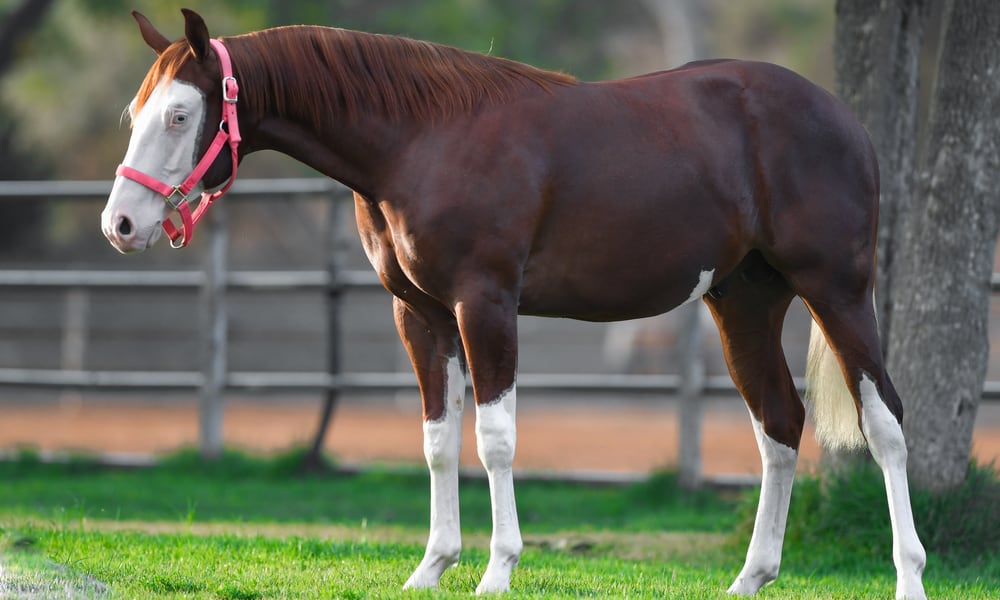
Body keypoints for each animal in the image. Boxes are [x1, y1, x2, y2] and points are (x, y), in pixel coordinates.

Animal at [101, 9, 927, 598]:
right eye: (134, 113)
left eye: (180, 115)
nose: (120, 225)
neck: (421, 138)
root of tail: (844, 119)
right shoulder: (420, 315)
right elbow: (438, 440)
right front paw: (430, 568)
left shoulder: (486, 304)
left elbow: (495, 439)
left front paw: (497, 571)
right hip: (745, 301)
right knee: (778, 424)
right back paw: (751, 578)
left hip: (838, 291)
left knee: (885, 421)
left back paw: (908, 576)